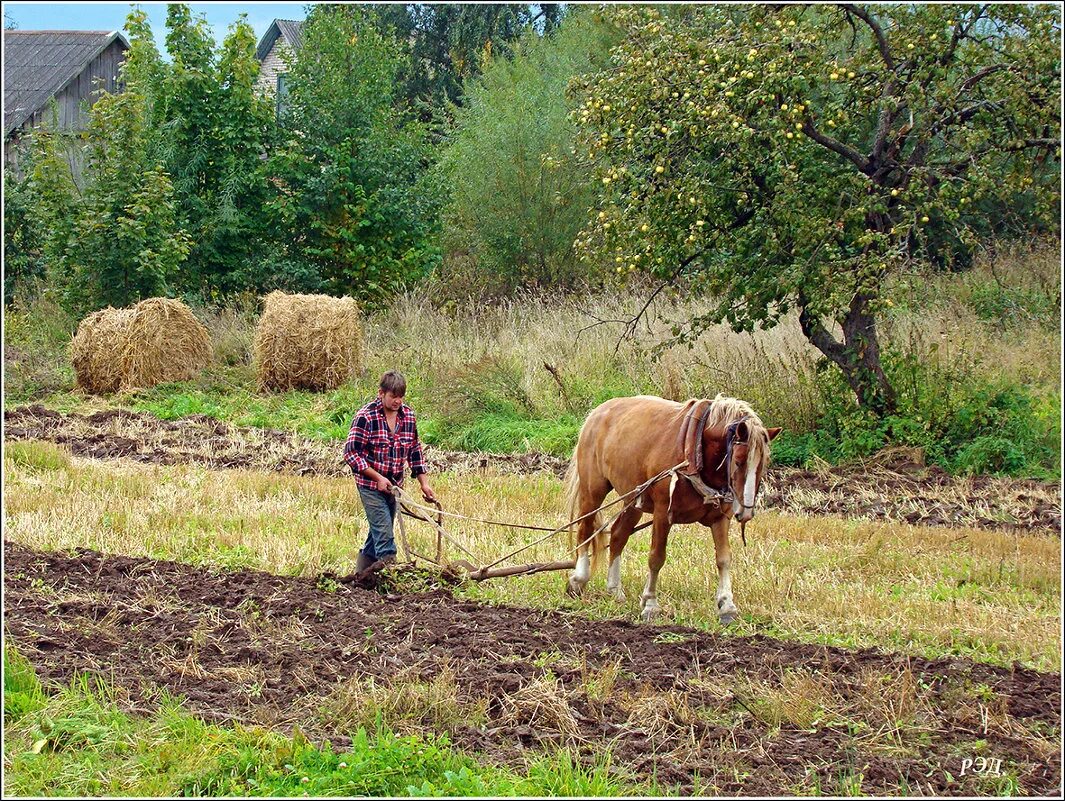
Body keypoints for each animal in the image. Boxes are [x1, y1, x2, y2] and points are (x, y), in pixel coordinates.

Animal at [566, 394, 783, 626]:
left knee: (618, 535)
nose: (746, 511)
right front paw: (650, 604)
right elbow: (656, 557)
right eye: (739, 461)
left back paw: (614, 589)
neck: (696, 451)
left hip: (633, 499)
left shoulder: (720, 518)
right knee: (585, 530)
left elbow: (724, 559)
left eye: (763, 464)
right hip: (593, 490)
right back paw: (579, 579)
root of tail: (596, 413)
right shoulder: (663, 513)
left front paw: (727, 605)